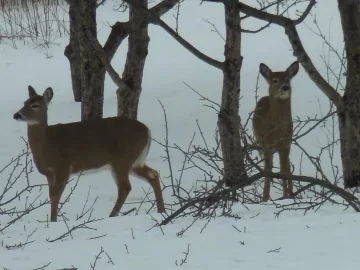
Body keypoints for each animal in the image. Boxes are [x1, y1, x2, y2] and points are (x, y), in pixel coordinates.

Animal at [13, 86, 166, 221]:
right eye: (24, 102)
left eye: (35, 105)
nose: (16, 115)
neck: (47, 143)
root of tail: (147, 131)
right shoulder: (49, 173)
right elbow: (51, 196)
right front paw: (52, 220)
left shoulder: (63, 167)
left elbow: (56, 196)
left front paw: (53, 221)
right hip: (136, 161)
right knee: (153, 174)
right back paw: (161, 210)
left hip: (122, 159)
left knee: (125, 187)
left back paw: (112, 216)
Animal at [252, 60, 300, 201]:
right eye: (274, 80)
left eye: (287, 79)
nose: (285, 87)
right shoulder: (267, 144)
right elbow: (268, 171)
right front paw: (265, 198)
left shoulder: (286, 143)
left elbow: (284, 169)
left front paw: (286, 196)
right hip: (260, 141)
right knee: (268, 167)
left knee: (287, 167)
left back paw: (290, 193)